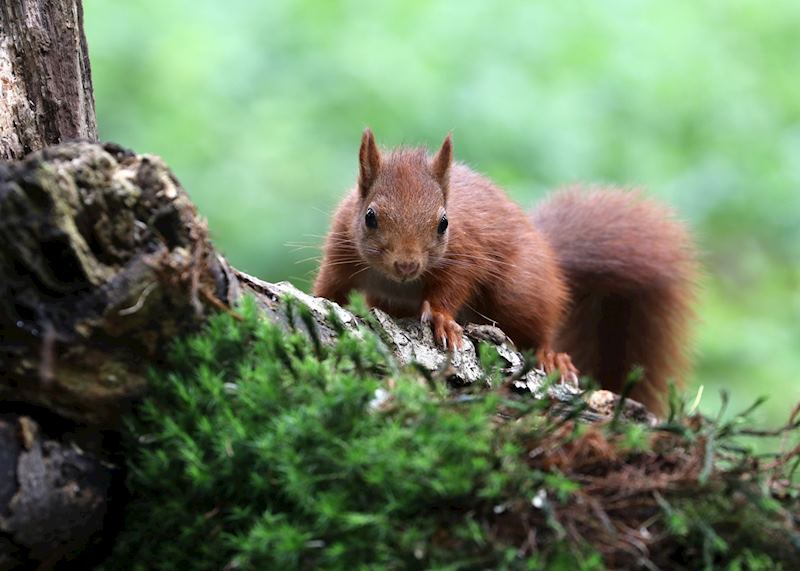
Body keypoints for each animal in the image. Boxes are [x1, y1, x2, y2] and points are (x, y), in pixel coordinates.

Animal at [313, 129, 697, 414]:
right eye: (370, 217)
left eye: (444, 223)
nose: (407, 264)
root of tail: (548, 257)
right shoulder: (342, 248)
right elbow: (330, 285)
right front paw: (318, 301)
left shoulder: (466, 253)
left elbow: (451, 290)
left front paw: (441, 320)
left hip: (519, 291)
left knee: (539, 327)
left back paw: (551, 356)